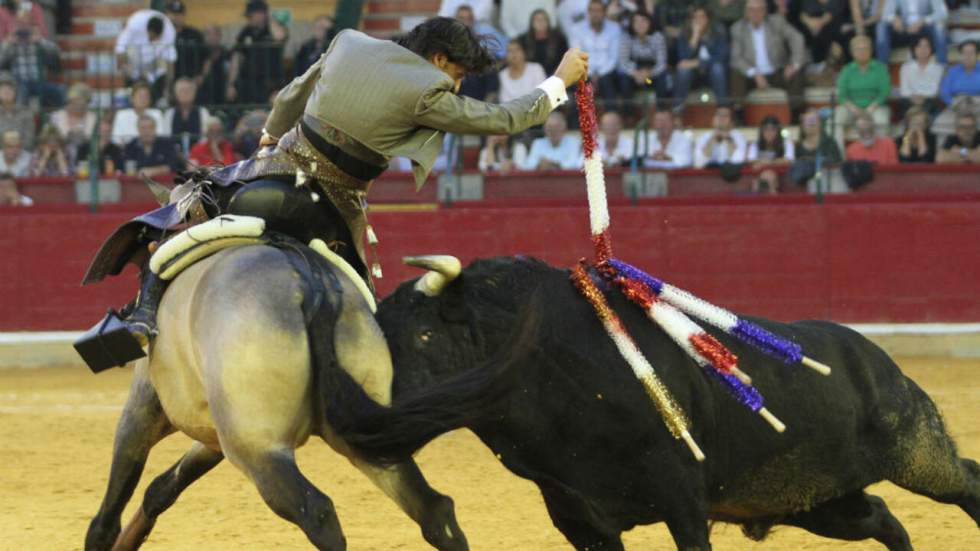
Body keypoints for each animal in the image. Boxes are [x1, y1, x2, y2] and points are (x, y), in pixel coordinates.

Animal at [372, 258, 976, 551]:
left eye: (425, 335)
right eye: (380, 337)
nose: (376, 416)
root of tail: (876, 358)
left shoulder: (682, 500)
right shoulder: (579, 518)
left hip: (915, 453)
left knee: (965, 478)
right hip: (817, 502)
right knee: (882, 518)